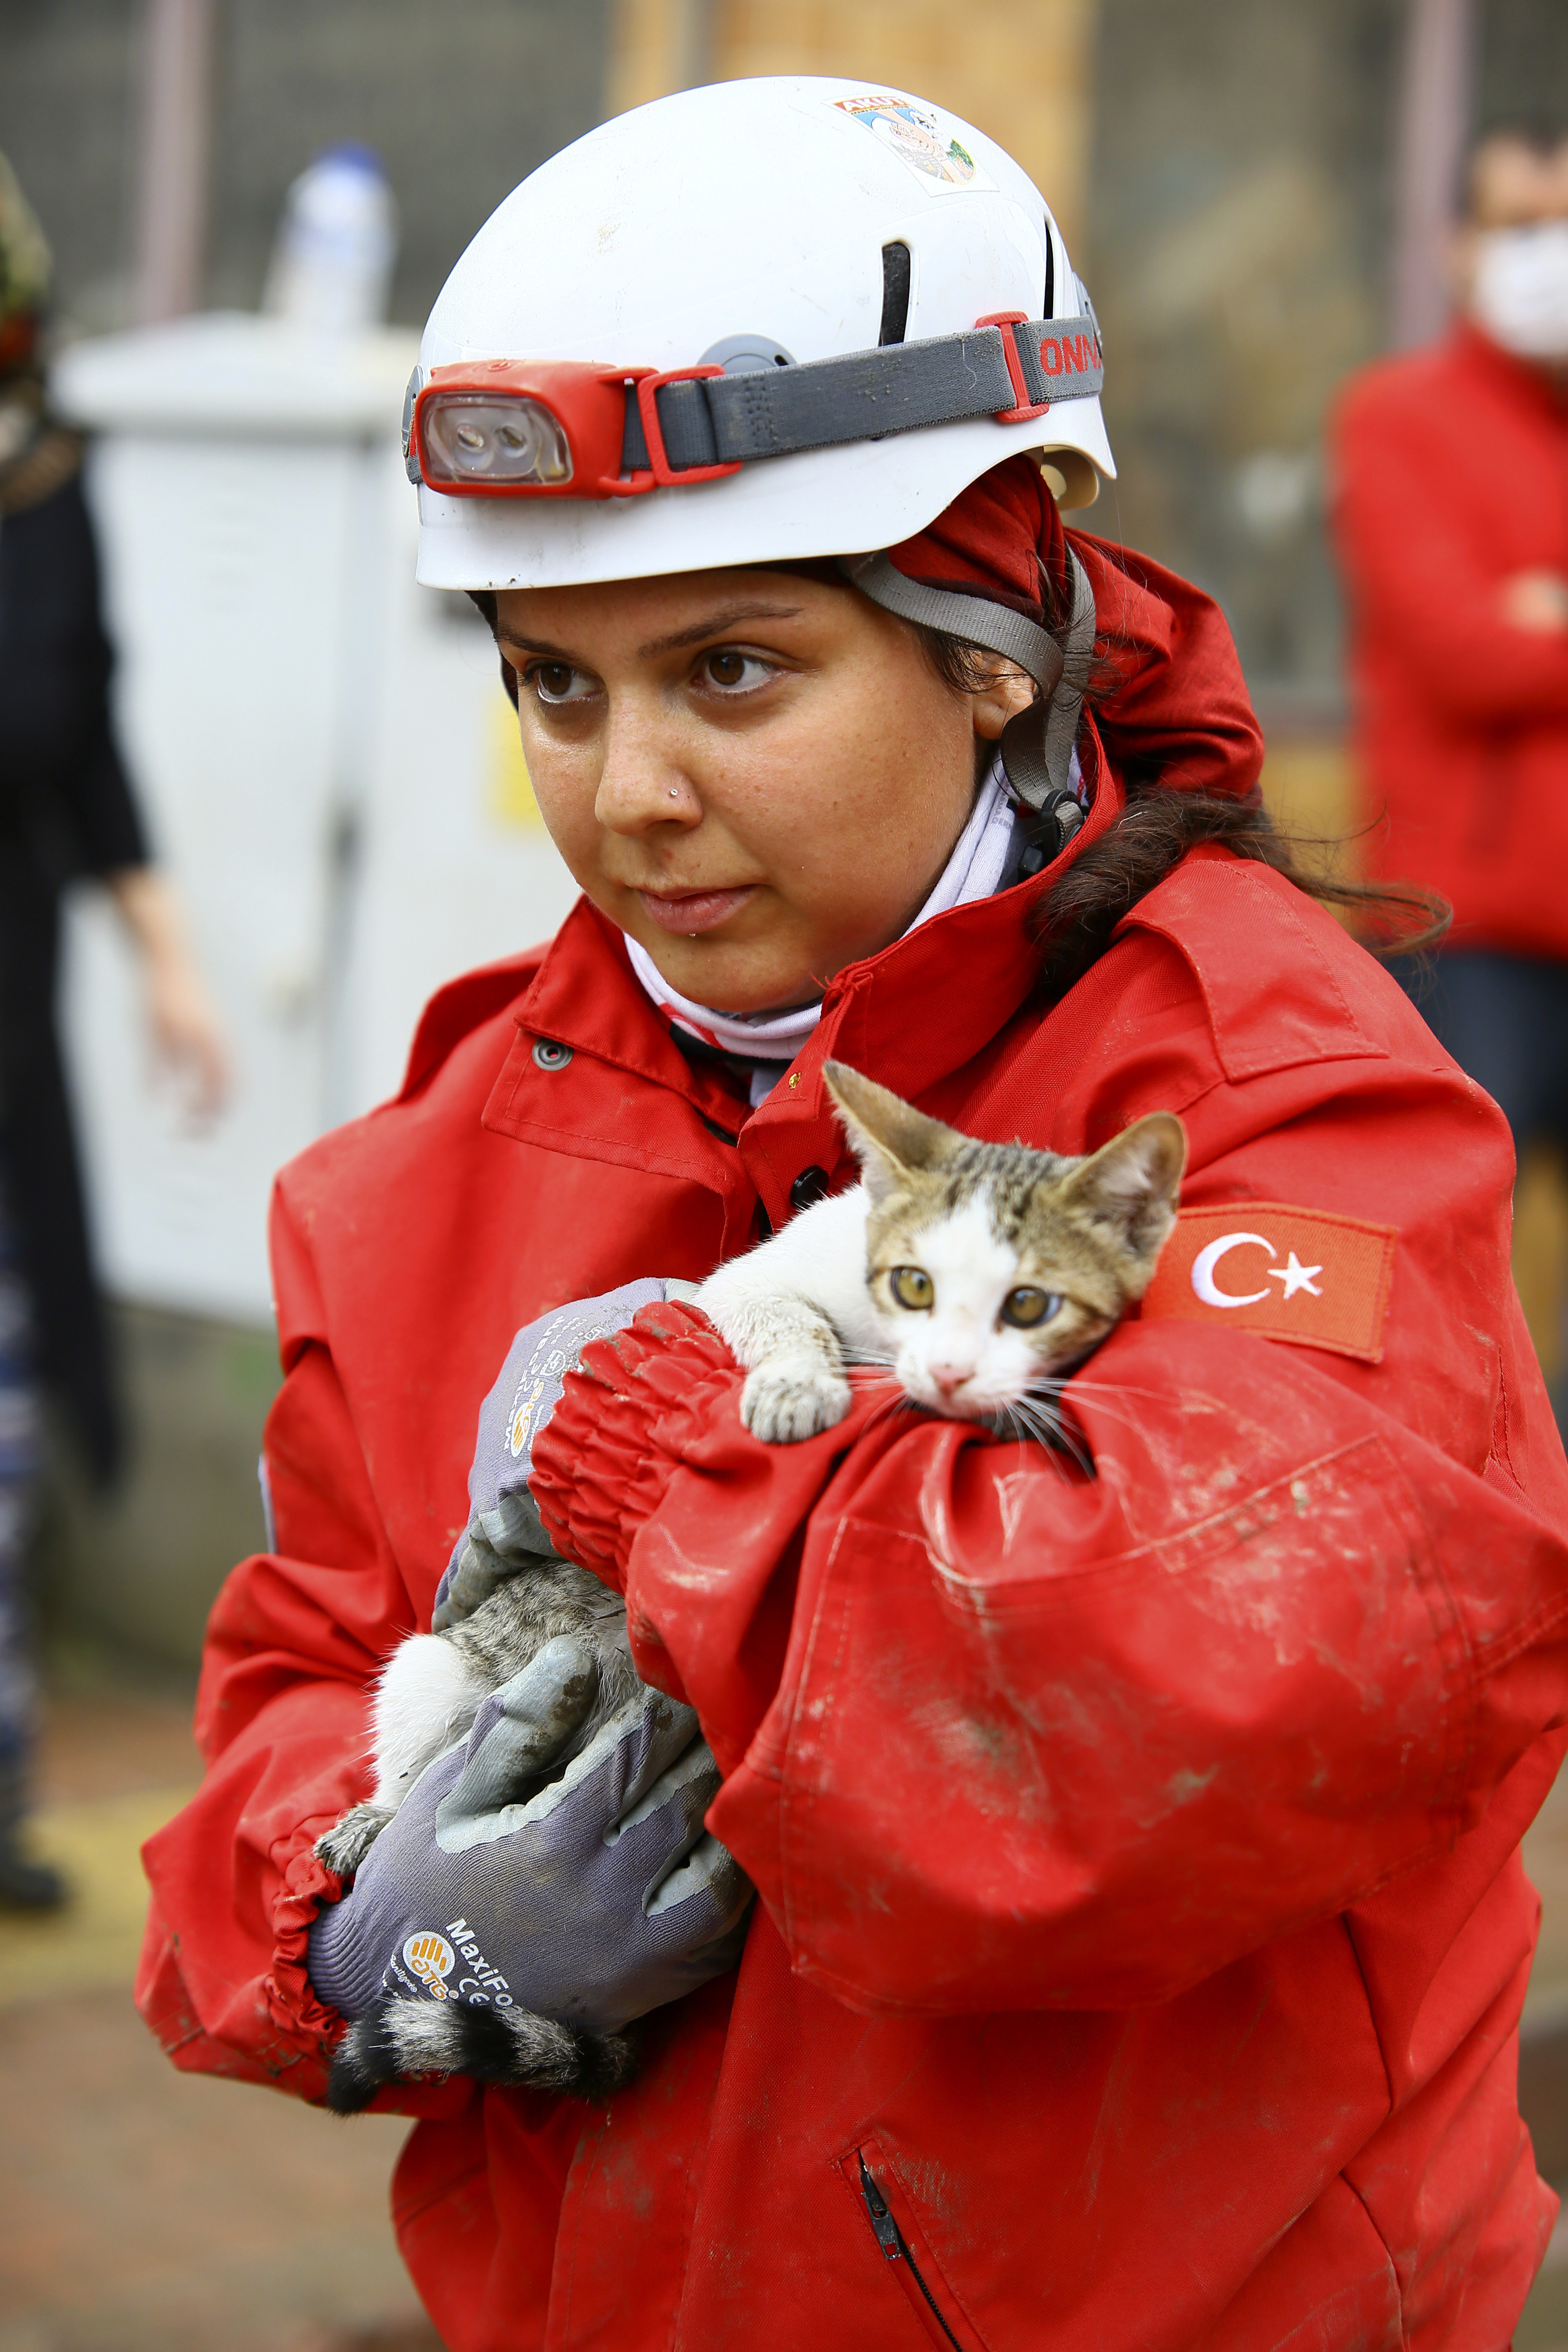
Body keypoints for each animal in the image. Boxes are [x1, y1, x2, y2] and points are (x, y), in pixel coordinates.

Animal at [700, 1058, 1189, 1439]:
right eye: (915, 1286)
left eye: (1028, 1305)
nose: (948, 1374)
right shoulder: (746, 1276)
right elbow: (780, 1313)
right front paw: (797, 1384)